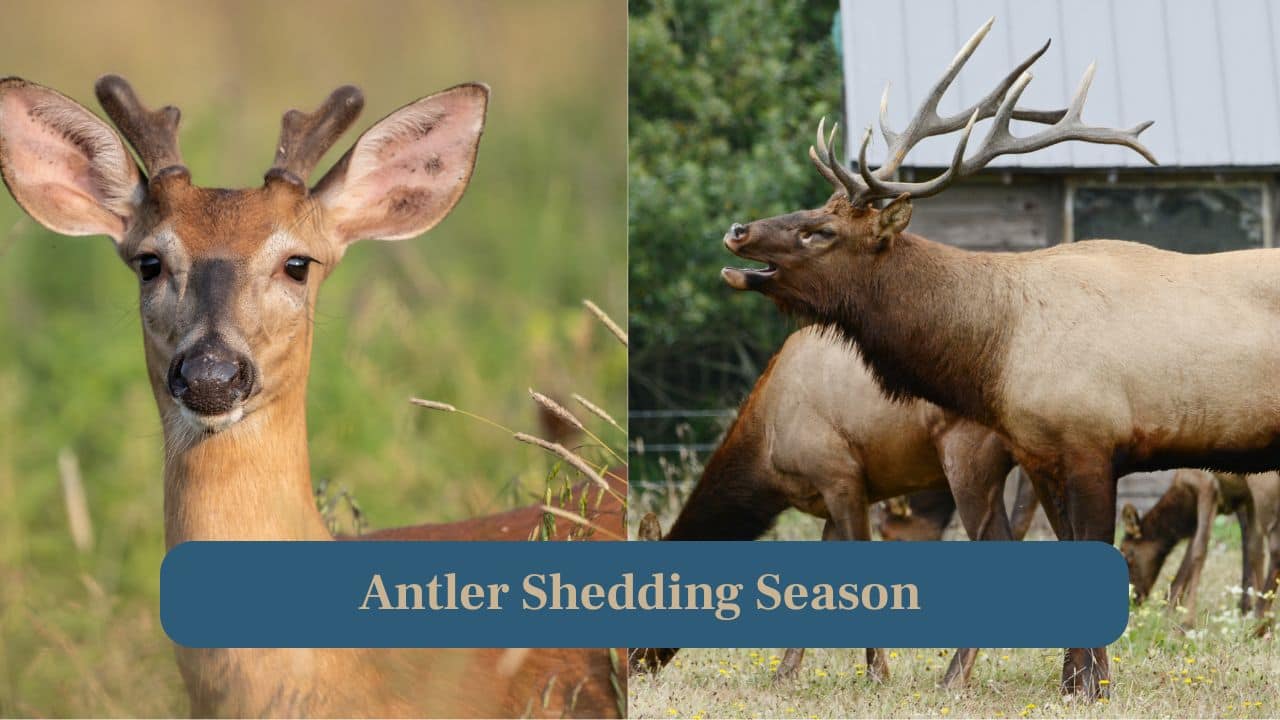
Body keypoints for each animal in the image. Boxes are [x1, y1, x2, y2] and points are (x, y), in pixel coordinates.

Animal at [629, 324, 1021, 687]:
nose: (633, 664)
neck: (764, 455)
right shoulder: (828, 500)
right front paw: (784, 675)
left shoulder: (841, 477)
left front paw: (878, 675)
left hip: (966, 453)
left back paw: (953, 678)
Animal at [1120, 470, 1279, 632]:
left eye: (1127, 554)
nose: (1133, 600)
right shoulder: (1246, 498)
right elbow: (1255, 551)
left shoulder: (1206, 485)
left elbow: (1198, 550)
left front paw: (1185, 621)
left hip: (1265, 485)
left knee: (1275, 547)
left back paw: (1259, 622)